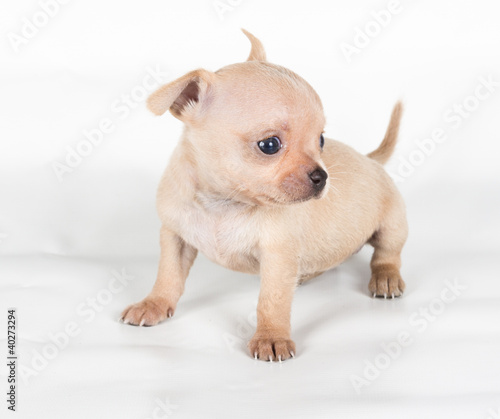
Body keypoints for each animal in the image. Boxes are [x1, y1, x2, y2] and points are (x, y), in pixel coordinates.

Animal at [121, 30, 406, 364]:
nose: (322, 177)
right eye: (269, 145)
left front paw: (271, 337)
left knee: (386, 255)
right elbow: (167, 276)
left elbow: (271, 301)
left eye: (321, 140)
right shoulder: (175, 237)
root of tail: (370, 159)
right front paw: (153, 304)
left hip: (393, 225)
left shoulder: (277, 257)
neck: (224, 204)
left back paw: (385, 278)